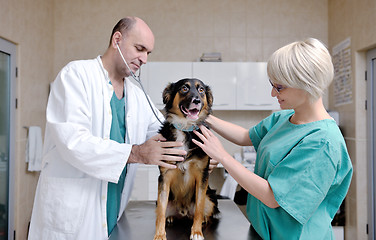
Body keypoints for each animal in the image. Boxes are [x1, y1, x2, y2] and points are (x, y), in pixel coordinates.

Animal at [153, 78, 219, 239]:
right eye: (184, 88)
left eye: (201, 90)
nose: (197, 100)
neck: (185, 128)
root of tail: (183, 211)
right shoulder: (164, 177)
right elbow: (161, 212)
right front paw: (159, 235)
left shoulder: (202, 175)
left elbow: (199, 208)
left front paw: (196, 232)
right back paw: (170, 217)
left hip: (211, 197)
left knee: (204, 212)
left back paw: (203, 220)